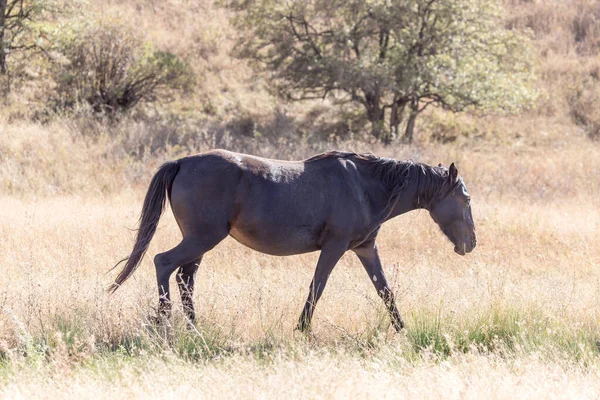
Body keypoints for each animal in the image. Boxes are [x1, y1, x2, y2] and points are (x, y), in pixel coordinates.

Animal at [106, 150, 474, 332]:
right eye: (467, 199)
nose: (470, 244)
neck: (367, 186)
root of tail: (182, 162)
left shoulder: (365, 248)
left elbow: (384, 290)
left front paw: (402, 329)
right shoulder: (336, 247)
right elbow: (317, 286)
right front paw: (302, 328)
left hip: (199, 242)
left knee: (185, 278)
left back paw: (194, 327)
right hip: (201, 239)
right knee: (164, 263)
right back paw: (164, 321)